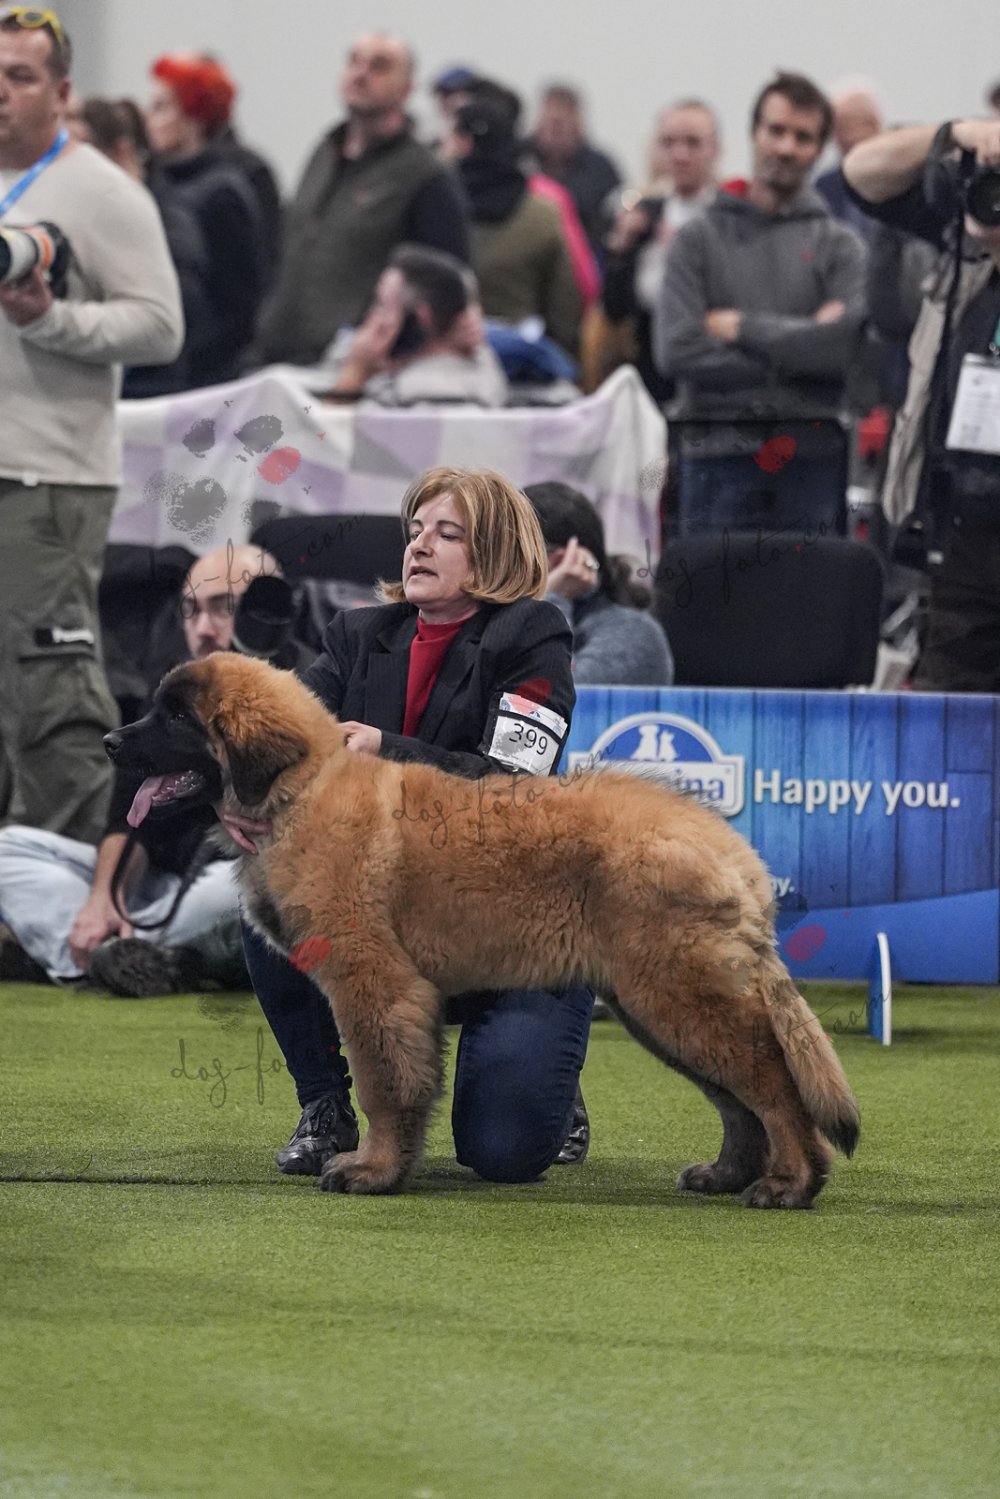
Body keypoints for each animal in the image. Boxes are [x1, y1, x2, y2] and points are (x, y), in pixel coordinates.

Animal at [105, 652, 860, 1207]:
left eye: (176, 716)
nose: (111, 740)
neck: (302, 788)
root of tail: (739, 855)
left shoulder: (374, 984)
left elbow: (384, 1083)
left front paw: (373, 1170)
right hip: (660, 1005)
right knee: (738, 1099)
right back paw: (726, 1174)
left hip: (677, 993)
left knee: (771, 1081)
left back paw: (790, 1182)